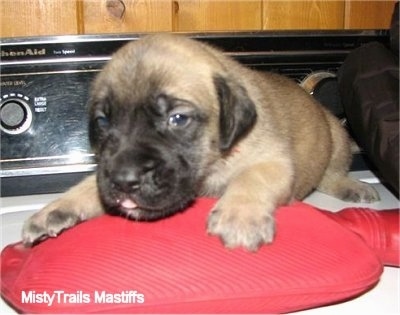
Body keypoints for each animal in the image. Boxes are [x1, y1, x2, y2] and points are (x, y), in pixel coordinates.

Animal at [21, 34, 378, 252]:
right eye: (103, 121)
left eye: (178, 119)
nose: (124, 181)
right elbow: (89, 187)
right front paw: (55, 209)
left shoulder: (272, 161)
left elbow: (253, 178)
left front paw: (239, 215)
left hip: (337, 138)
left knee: (332, 173)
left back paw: (352, 186)